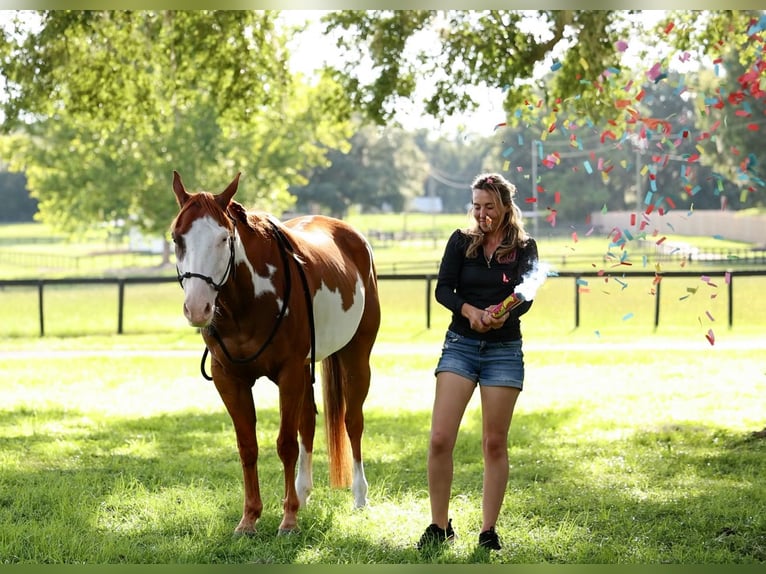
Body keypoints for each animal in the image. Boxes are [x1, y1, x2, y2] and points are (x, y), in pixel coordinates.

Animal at [169, 171, 381, 535]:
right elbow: (248, 446)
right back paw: (303, 492)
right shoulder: (229, 379)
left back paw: (358, 496)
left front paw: (289, 520)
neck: (249, 302)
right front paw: (249, 518)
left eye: (224, 238)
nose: (198, 308)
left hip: (356, 357)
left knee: (352, 421)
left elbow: (285, 444)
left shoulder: (289, 372)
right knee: (308, 421)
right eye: (176, 238)